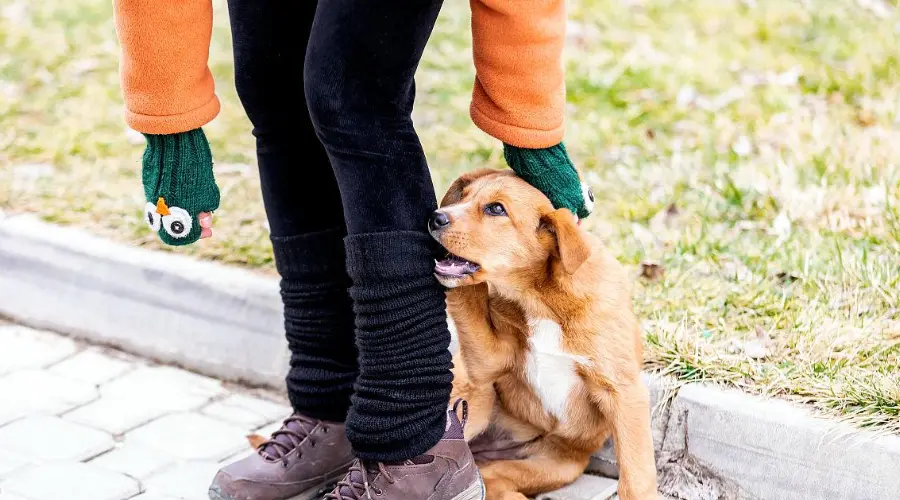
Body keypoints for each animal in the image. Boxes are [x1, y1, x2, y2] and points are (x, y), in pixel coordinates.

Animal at [428, 169, 652, 500]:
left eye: (496, 209)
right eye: (463, 196)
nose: (434, 217)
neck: (541, 298)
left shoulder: (623, 391)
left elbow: (636, 477)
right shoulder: (488, 361)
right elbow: (469, 299)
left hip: (556, 465)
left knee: (491, 480)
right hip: (478, 396)